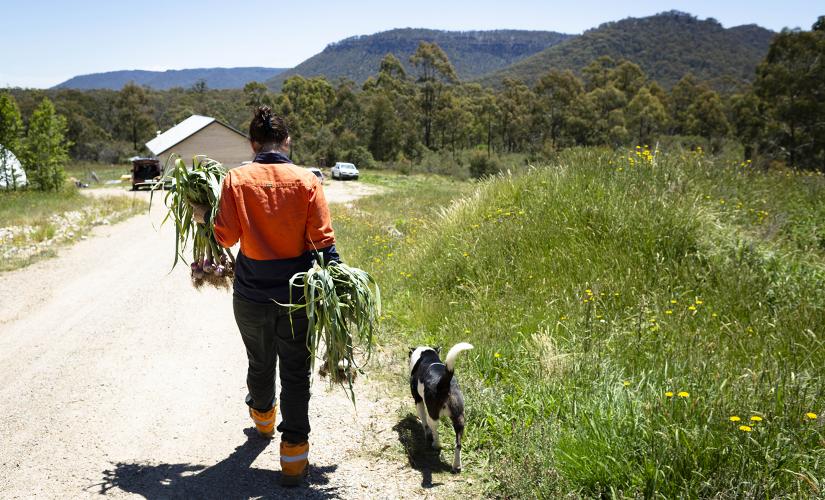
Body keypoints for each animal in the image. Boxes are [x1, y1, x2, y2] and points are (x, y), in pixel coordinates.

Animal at [408, 342, 474, 474]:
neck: (427, 356)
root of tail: (445, 383)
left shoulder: (418, 401)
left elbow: (424, 423)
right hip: (459, 419)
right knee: (458, 444)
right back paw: (456, 466)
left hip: (433, 415)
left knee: (435, 430)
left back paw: (435, 444)